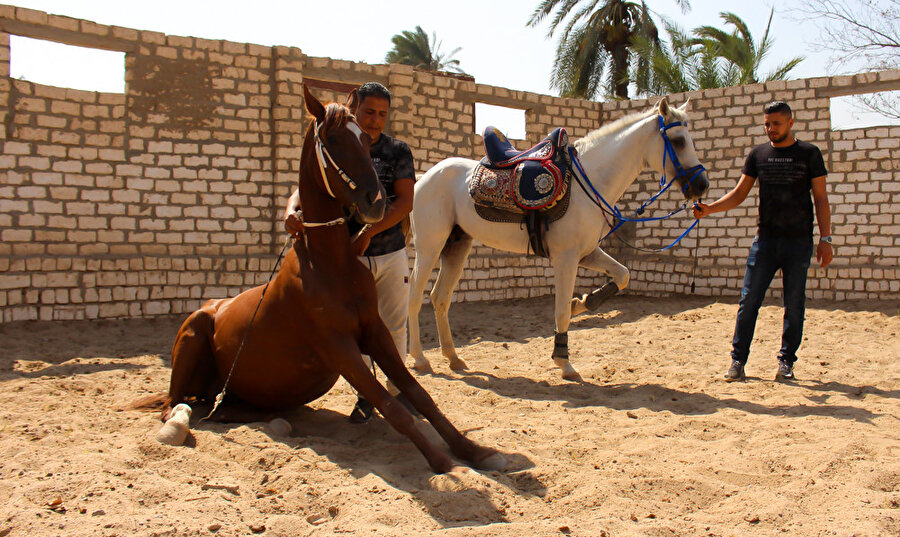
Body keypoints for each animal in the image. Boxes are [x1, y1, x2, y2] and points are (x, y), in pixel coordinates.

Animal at [134, 85, 502, 474]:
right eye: (333, 139)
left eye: (363, 138)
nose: (375, 202)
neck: (330, 265)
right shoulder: (338, 347)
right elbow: (393, 408)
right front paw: (446, 464)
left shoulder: (375, 333)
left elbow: (420, 395)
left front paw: (474, 450)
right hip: (192, 335)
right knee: (174, 405)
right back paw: (177, 424)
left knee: (220, 406)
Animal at [408, 97, 712, 382]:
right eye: (678, 140)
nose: (702, 185)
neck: (588, 183)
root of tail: (424, 178)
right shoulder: (566, 258)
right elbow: (562, 312)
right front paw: (564, 361)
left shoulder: (588, 253)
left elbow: (622, 275)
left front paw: (584, 302)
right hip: (430, 247)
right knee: (415, 294)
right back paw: (420, 359)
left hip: (457, 246)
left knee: (440, 298)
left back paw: (453, 357)